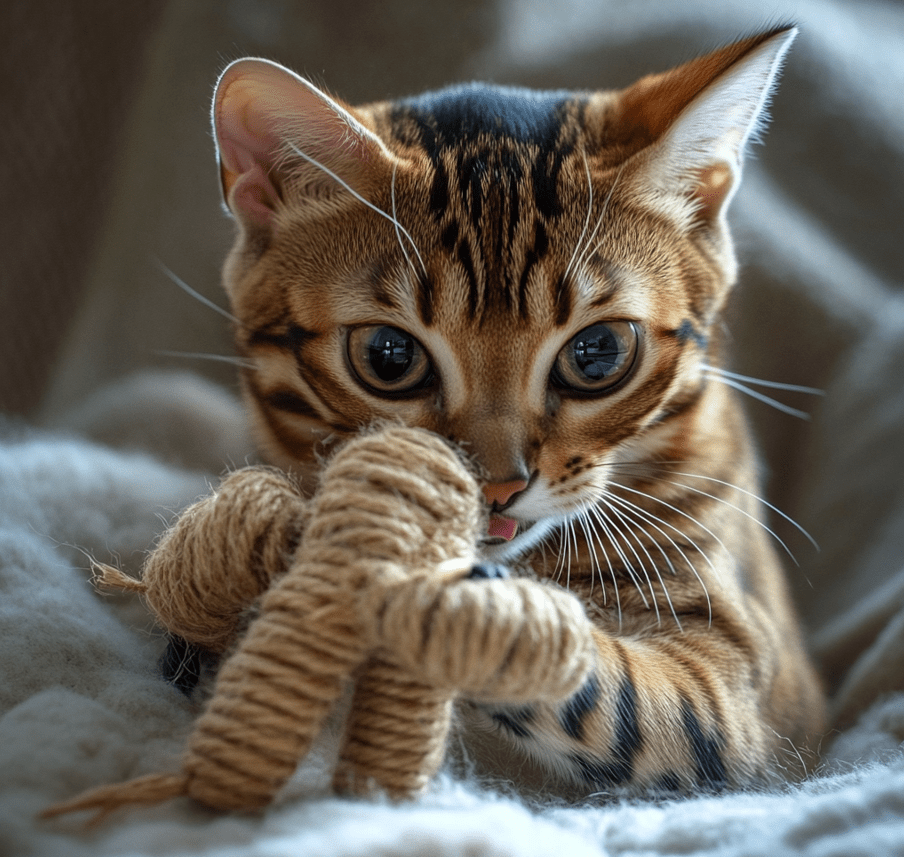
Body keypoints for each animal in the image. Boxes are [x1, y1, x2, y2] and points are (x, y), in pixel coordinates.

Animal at [207, 25, 828, 796]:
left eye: (598, 353)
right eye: (388, 356)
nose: (500, 485)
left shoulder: (742, 681)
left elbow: (619, 693)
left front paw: (454, 610)